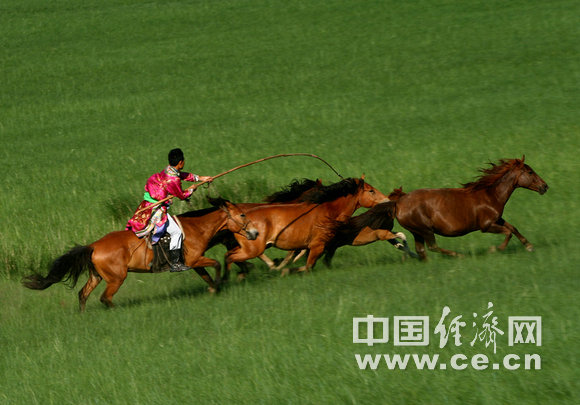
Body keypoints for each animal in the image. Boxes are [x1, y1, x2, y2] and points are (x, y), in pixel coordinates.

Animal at [22, 198, 258, 311]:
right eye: (242, 215)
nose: (255, 233)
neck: (196, 228)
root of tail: (93, 246)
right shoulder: (194, 259)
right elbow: (216, 265)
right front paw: (220, 283)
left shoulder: (194, 263)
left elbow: (207, 275)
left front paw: (213, 289)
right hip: (117, 278)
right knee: (105, 298)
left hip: (97, 276)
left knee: (83, 294)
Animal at [224, 177, 389, 275]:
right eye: (371, 190)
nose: (387, 200)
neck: (327, 212)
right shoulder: (317, 246)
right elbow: (307, 266)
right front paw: (284, 270)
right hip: (254, 248)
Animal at [392, 156, 548, 260]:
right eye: (530, 172)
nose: (545, 186)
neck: (491, 195)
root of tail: (400, 201)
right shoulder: (486, 226)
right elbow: (508, 232)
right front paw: (494, 250)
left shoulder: (497, 219)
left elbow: (513, 228)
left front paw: (529, 246)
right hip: (425, 229)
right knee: (432, 247)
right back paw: (459, 255)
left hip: (416, 232)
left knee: (421, 250)